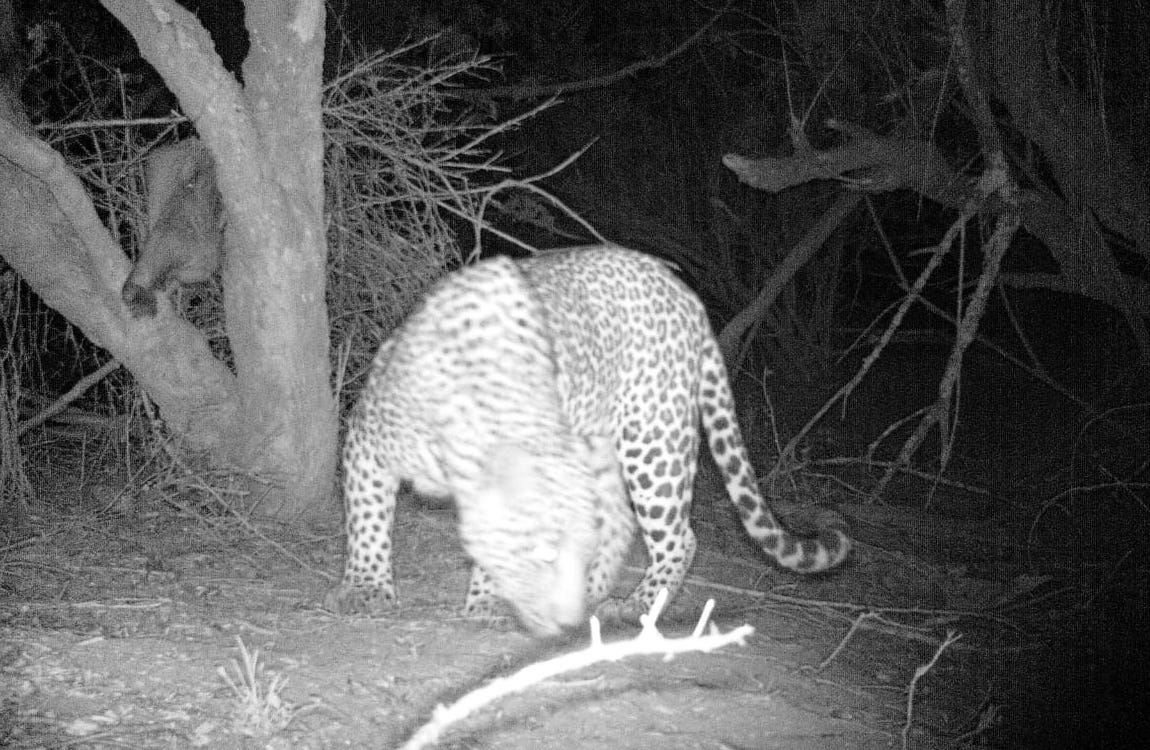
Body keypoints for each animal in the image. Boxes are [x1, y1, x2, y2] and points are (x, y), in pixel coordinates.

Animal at [325, 245, 851, 636]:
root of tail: (686, 295)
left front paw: (488, 601)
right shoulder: (365, 441)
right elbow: (367, 520)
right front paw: (366, 588)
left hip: (653, 436)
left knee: (678, 536)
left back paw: (636, 604)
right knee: (618, 520)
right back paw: (597, 590)